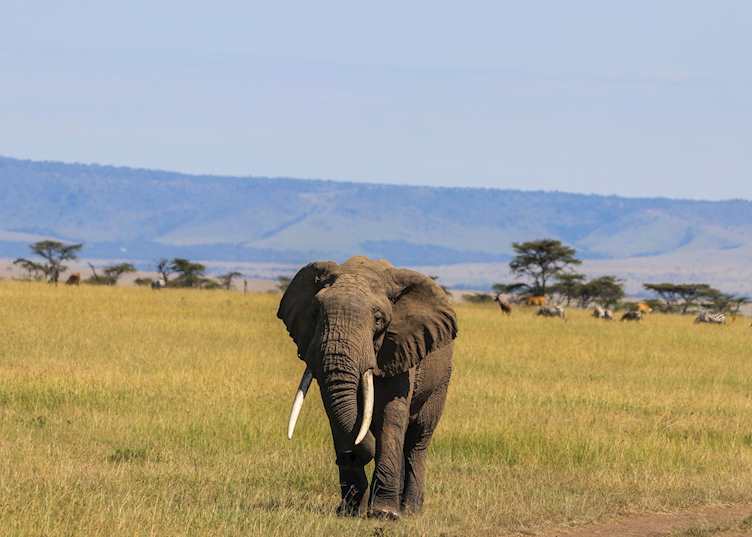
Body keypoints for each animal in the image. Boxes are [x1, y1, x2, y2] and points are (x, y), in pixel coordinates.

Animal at [277, 256, 458, 519]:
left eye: (379, 319)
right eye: (316, 312)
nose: (349, 456)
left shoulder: (400, 348)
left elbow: (391, 416)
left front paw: (384, 514)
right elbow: (335, 411)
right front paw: (350, 511)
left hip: (441, 380)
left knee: (417, 439)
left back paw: (410, 510)